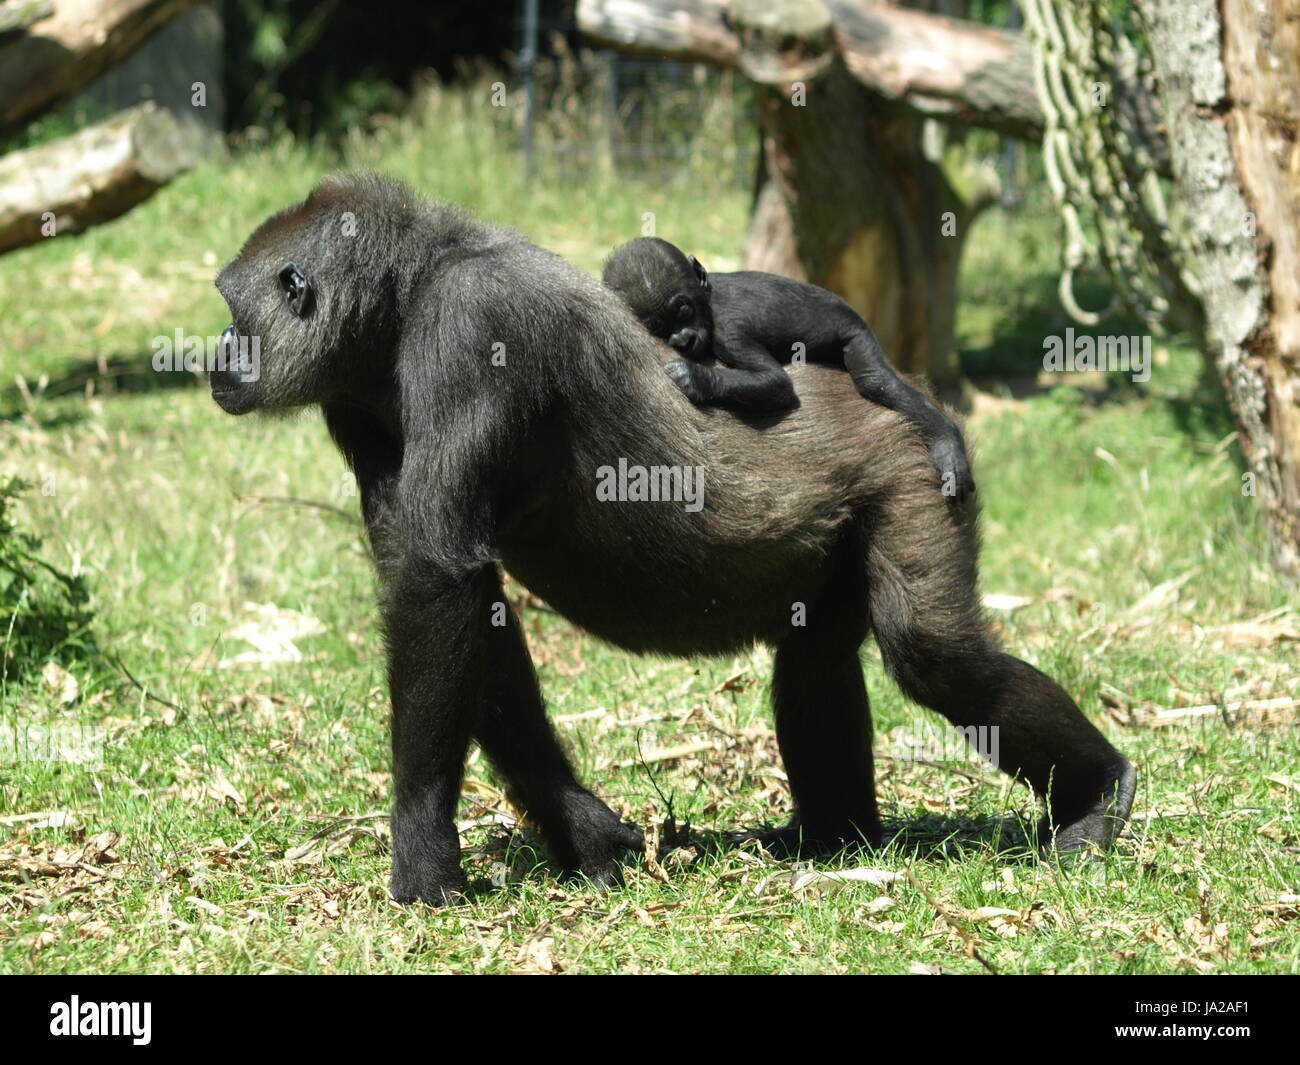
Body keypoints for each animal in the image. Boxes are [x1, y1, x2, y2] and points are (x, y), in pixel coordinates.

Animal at [605, 237, 977, 504]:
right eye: (657, 326)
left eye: (683, 309)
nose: (682, 338)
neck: (707, 302)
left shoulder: (729, 330)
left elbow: (776, 384)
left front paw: (693, 378)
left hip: (856, 333)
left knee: (877, 382)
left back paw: (946, 440)